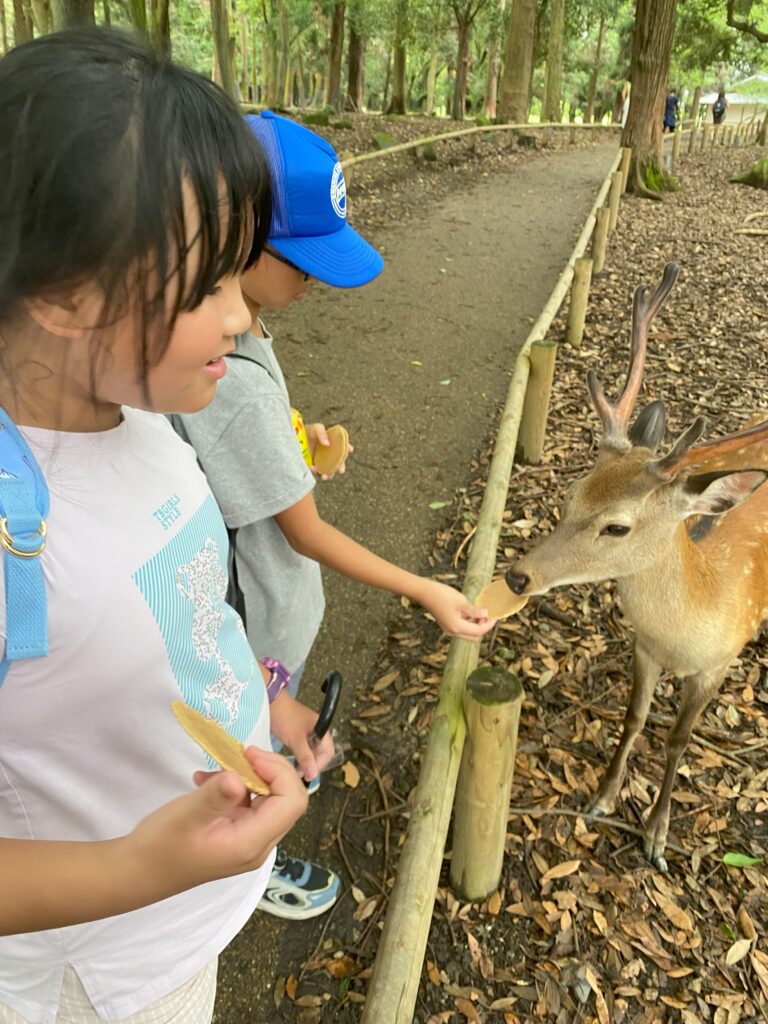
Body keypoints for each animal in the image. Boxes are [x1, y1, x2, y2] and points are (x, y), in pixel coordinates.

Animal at [505, 264, 768, 872]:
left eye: (617, 527)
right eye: (571, 493)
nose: (517, 576)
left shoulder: (718, 664)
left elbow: (677, 740)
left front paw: (657, 834)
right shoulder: (643, 647)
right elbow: (634, 719)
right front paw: (601, 798)